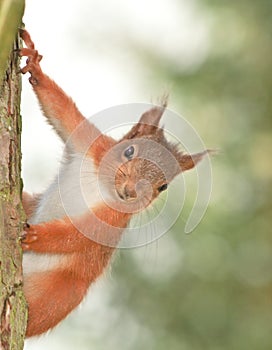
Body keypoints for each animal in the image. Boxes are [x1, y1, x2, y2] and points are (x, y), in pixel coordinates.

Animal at [18, 29, 210, 336]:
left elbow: (78, 234)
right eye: (129, 151)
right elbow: (62, 111)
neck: (103, 186)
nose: (131, 193)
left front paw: (37, 236)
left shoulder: (113, 219)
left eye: (163, 187)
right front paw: (35, 66)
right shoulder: (91, 144)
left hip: (63, 292)